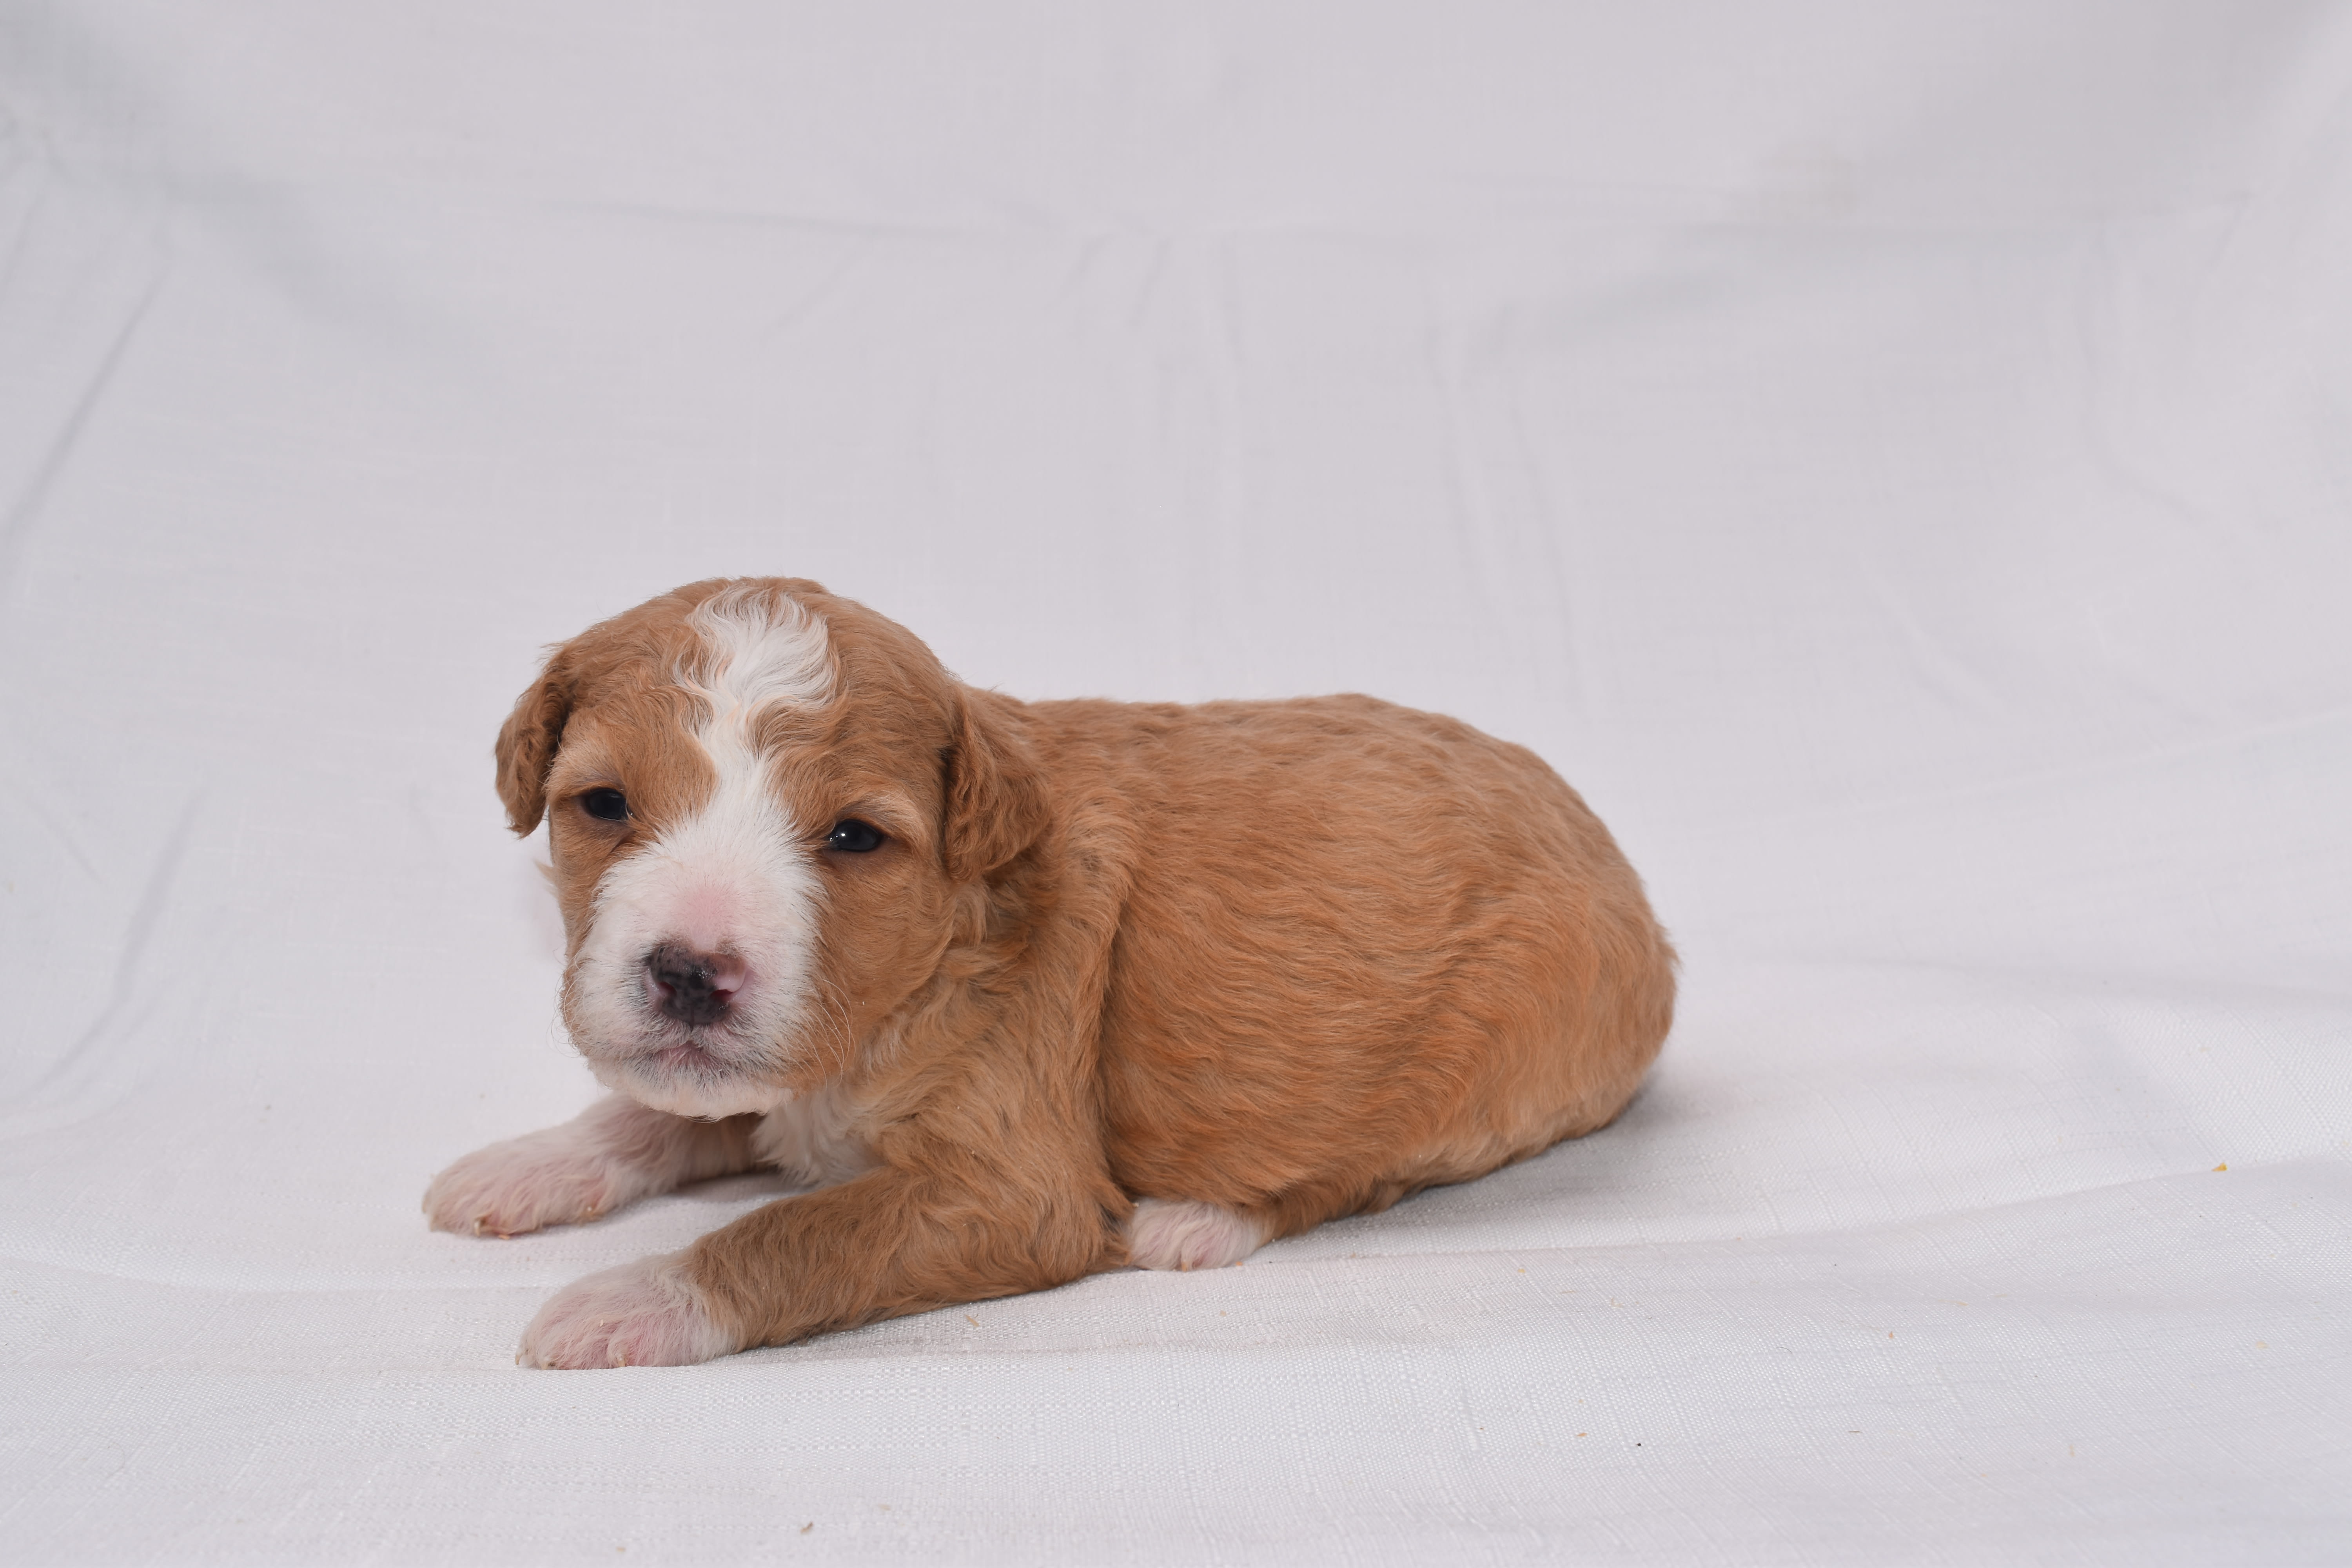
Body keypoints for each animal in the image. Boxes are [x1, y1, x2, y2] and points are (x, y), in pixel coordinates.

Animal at [423, 583, 1675, 1363]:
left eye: (854, 838)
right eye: (602, 804)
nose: (688, 972)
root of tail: (1622, 872)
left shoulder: (1014, 1187)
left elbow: (793, 1233)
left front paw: (628, 1297)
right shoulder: (773, 1070)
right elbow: (658, 1112)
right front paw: (524, 1166)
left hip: (1483, 1047)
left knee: (1360, 1170)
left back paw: (1199, 1222)